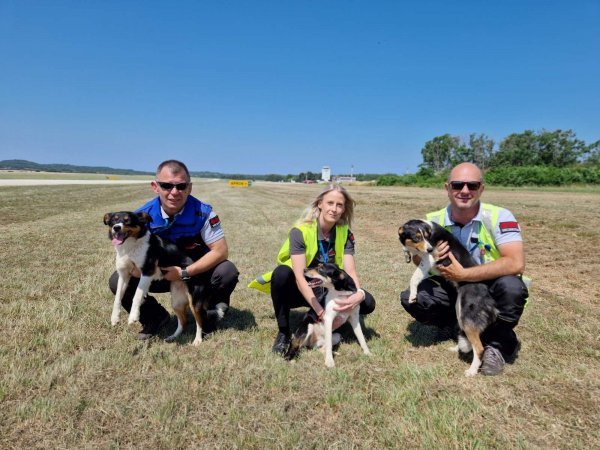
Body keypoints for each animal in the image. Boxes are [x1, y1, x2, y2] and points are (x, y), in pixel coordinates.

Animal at [103, 211, 206, 344]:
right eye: (114, 221)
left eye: (127, 220)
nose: (116, 228)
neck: (130, 247)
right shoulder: (124, 275)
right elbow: (117, 298)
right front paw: (115, 318)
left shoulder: (147, 271)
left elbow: (137, 295)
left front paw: (133, 316)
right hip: (176, 301)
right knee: (183, 321)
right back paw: (173, 337)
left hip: (194, 301)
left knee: (200, 321)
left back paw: (197, 340)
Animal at [398, 219, 496, 376]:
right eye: (417, 238)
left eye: (427, 237)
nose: (430, 249)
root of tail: (488, 298)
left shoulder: (429, 259)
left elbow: (414, 278)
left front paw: (413, 295)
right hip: (459, 310)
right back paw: (457, 348)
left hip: (467, 316)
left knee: (479, 348)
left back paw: (472, 371)